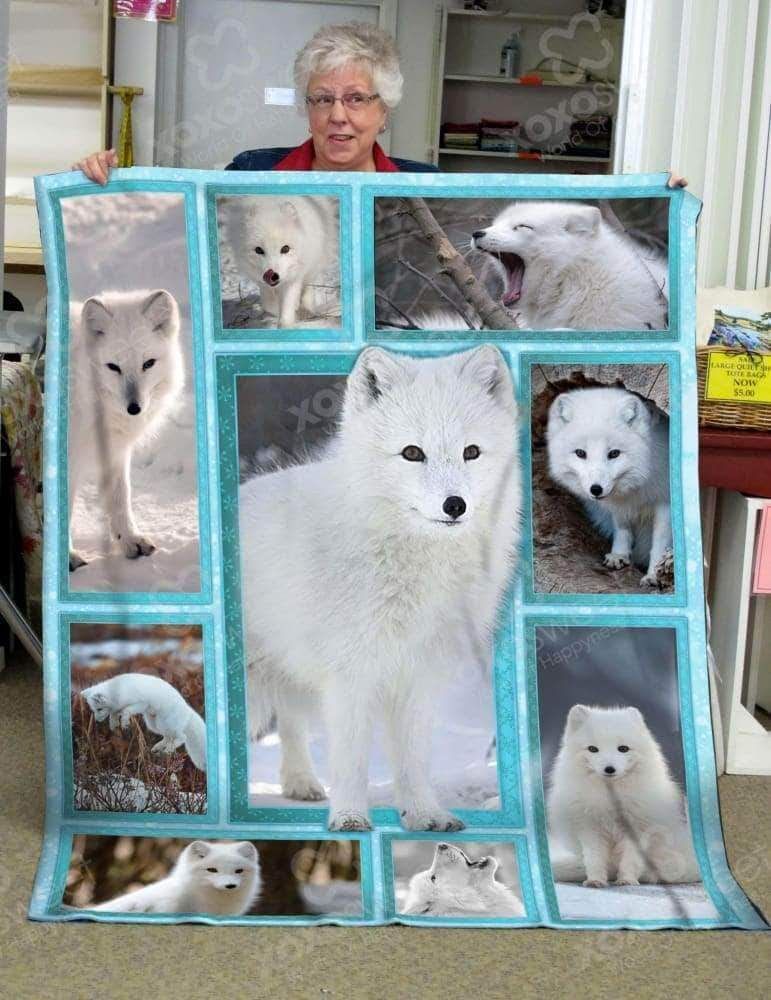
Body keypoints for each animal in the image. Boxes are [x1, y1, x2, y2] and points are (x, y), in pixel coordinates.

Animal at [68, 288, 184, 571]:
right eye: (113, 367)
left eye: (148, 363)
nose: (134, 408)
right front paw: (66, 556)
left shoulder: (116, 453)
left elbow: (121, 496)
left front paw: (130, 539)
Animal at [219, 195, 339, 328]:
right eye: (258, 250)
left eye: (285, 249)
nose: (272, 275)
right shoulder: (261, 280)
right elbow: (269, 304)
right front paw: (278, 312)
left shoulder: (294, 277)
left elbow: (287, 302)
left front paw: (286, 323)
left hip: (314, 262)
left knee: (309, 286)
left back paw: (306, 310)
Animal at [240, 345, 521, 832]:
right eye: (412, 453)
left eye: (471, 452)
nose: (455, 505)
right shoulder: (350, 674)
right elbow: (352, 758)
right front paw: (351, 819)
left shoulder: (419, 675)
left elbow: (413, 759)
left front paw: (425, 815)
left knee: (291, 723)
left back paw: (300, 785)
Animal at [546, 386, 671, 586]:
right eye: (580, 453)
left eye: (614, 453)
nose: (596, 489)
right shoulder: (618, 506)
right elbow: (621, 527)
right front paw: (619, 554)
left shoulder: (665, 502)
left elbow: (659, 543)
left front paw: (654, 574)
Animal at [547, 705, 700, 887]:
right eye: (593, 749)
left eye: (623, 748)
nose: (609, 769)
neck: (611, 799)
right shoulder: (590, 828)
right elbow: (594, 859)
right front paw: (595, 880)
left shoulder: (638, 828)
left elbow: (630, 860)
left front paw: (627, 880)